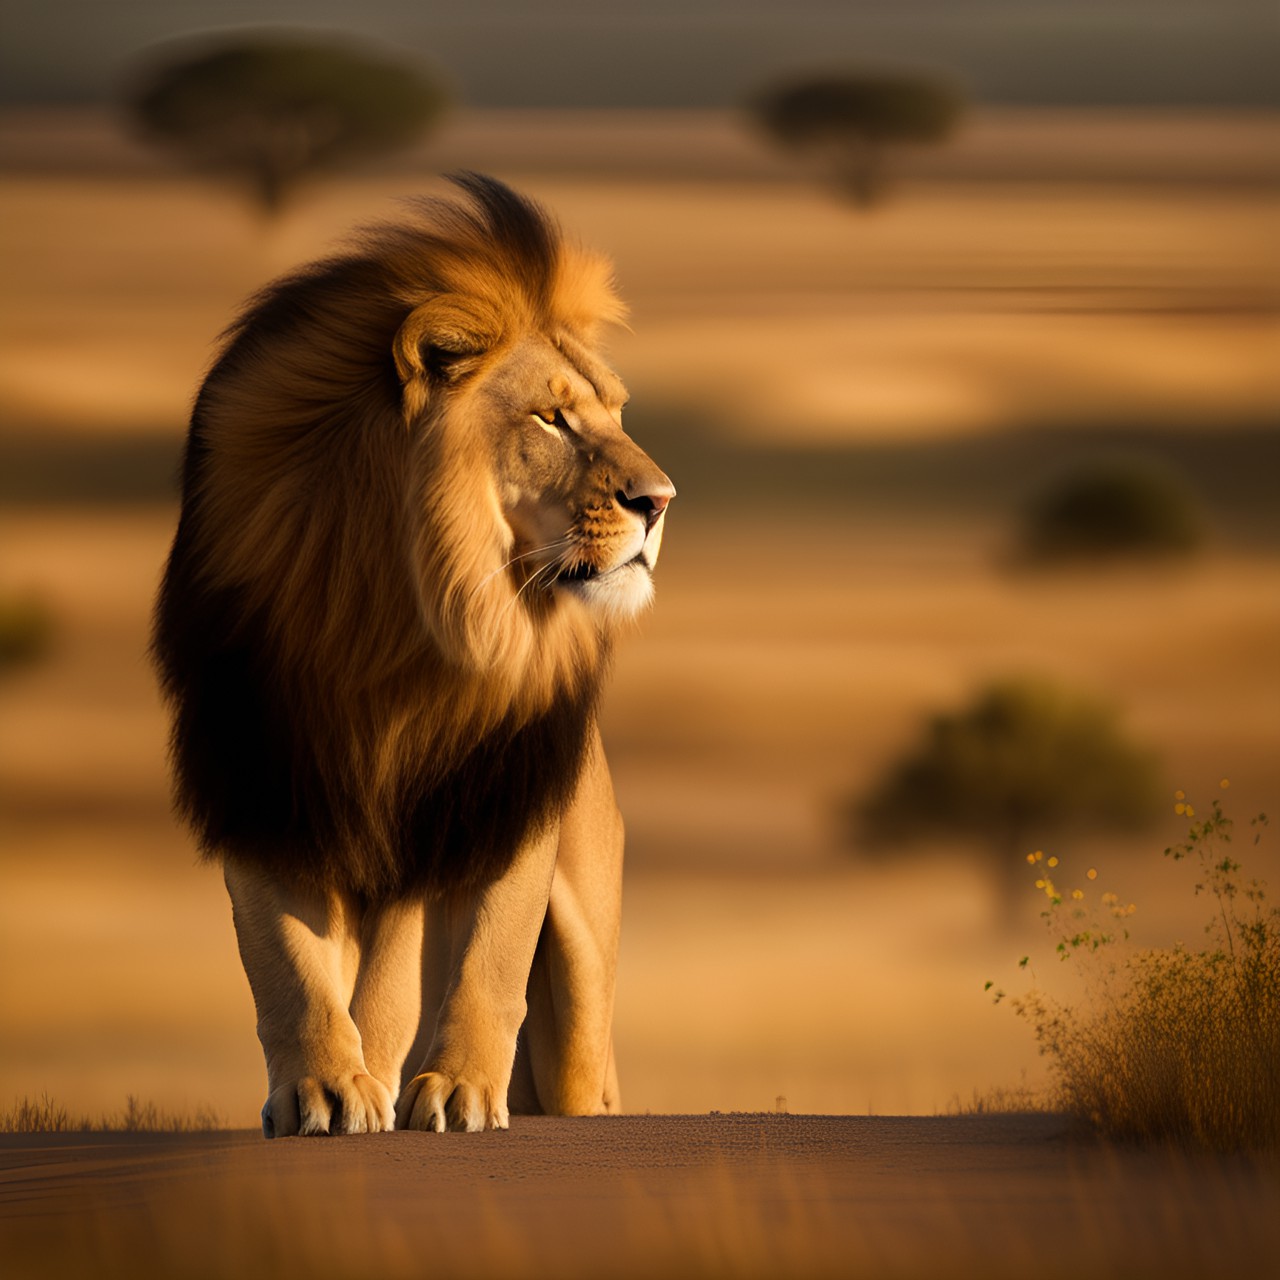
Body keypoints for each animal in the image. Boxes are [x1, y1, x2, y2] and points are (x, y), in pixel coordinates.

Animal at [151, 172, 675, 1141]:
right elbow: (285, 962)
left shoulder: (470, 805)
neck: (396, 616)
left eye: (616, 414)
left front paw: (456, 1091)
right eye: (551, 417)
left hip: (579, 987)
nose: (659, 501)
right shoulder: (262, 781)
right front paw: (323, 1089)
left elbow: (465, 965)